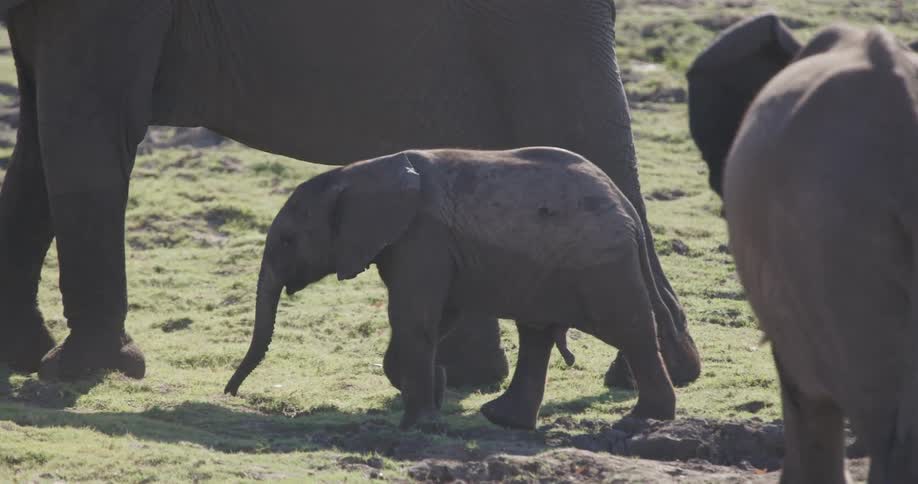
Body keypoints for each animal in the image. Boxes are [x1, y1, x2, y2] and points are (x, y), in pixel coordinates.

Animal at [0, 0, 699, 388]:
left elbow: (83, 127)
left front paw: (77, 370)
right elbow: (36, 142)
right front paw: (23, 356)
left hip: (538, 35)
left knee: (586, 140)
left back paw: (652, 375)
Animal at [224, 147, 678, 430]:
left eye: (287, 241)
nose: (230, 393)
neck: (359, 172)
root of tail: (630, 210)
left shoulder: (423, 236)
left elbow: (414, 317)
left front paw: (421, 423)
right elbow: (437, 317)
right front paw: (435, 390)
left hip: (602, 264)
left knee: (631, 331)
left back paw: (644, 420)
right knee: (537, 334)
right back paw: (502, 418)